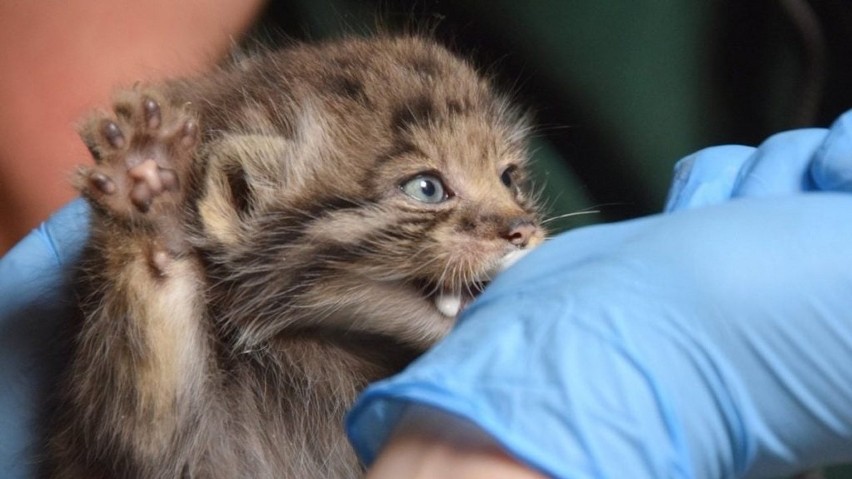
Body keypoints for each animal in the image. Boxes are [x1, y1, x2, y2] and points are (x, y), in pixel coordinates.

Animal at [43, 35, 544, 478]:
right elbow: (145, 421)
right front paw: (149, 197)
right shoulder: (146, 444)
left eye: (509, 178)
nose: (523, 230)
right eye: (427, 188)